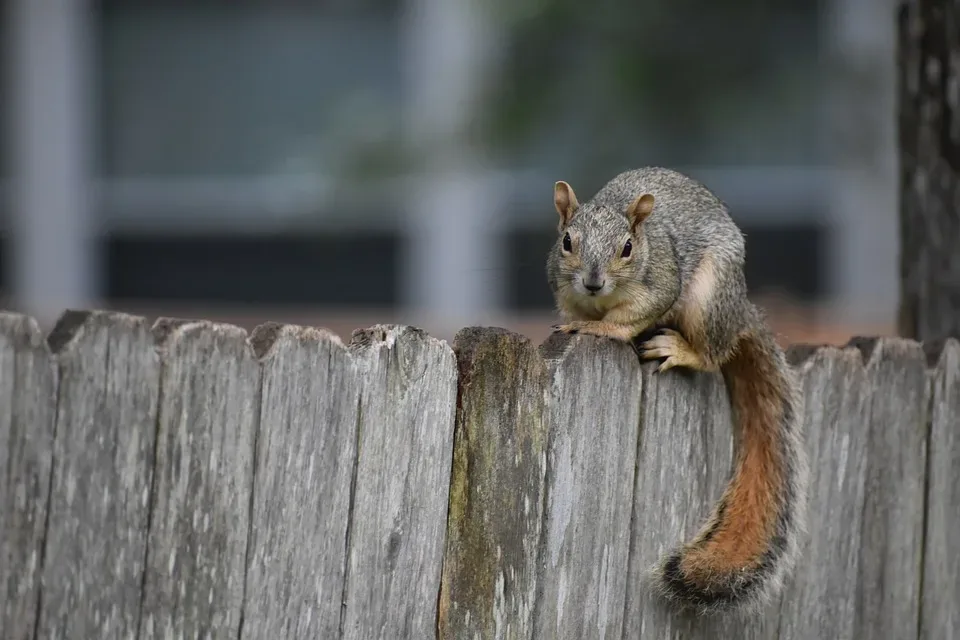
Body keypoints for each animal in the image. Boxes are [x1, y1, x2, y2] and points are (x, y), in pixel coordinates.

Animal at [544, 166, 808, 616]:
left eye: (627, 248)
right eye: (567, 242)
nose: (593, 282)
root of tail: (740, 311)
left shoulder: (660, 284)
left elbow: (631, 317)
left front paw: (602, 328)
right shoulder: (565, 290)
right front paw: (581, 321)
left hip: (708, 299)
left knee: (713, 353)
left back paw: (681, 349)